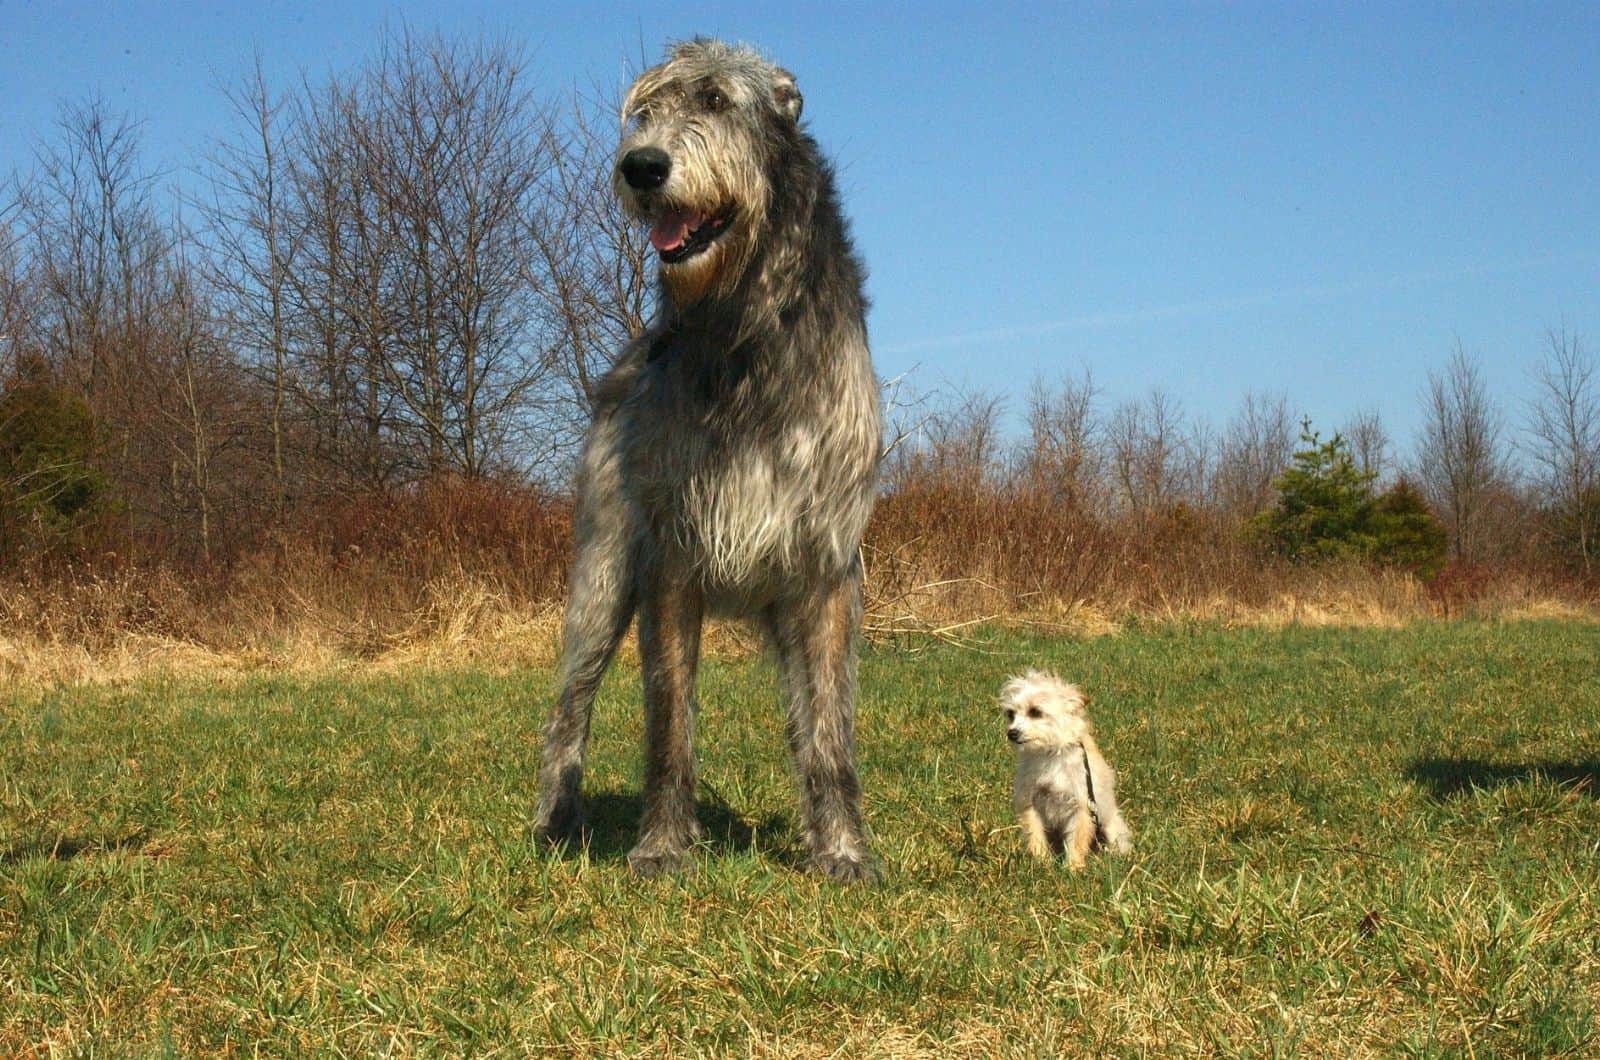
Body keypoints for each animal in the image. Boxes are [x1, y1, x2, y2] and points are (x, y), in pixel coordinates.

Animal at [534, 41, 889, 883]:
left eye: (720, 101)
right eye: (645, 112)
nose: (641, 166)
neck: (744, 329)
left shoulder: (827, 566)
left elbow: (829, 732)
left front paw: (843, 849)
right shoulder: (669, 559)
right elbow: (668, 720)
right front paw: (663, 845)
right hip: (601, 574)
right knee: (570, 705)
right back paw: (556, 819)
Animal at [1004, 672, 1132, 871]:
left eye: (1035, 712)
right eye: (1010, 714)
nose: (1012, 733)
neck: (1049, 753)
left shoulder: (1081, 805)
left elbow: (1077, 841)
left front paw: (1073, 868)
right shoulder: (1029, 803)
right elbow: (1035, 835)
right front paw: (1041, 863)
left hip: (1111, 828)